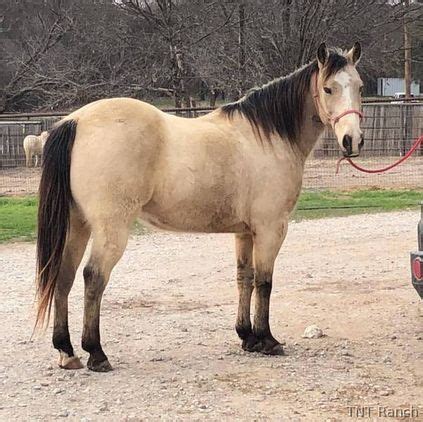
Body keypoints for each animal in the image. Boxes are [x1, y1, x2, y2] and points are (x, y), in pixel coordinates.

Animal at [35, 42, 364, 370]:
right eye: (328, 88)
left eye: (359, 86)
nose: (352, 141)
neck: (268, 137)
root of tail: (75, 122)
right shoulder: (271, 228)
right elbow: (264, 281)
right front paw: (267, 339)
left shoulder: (245, 232)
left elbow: (244, 278)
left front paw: (248, 337)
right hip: (110, 229)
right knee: (93, 277)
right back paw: (96, 353)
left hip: (78, 224)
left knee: (64, 276)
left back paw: (67, 351)